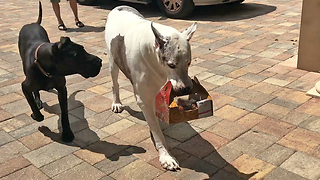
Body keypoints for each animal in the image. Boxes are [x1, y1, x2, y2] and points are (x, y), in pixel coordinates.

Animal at [17, 1, 102, 142]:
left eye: (83, 49)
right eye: (75, 56)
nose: (100, 61)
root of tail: (33, 23)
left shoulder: (62, 89)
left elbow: (65, 113)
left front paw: (67, 133)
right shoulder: (24, 86)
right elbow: (33, 106)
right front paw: (36, 115)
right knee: (35, 91)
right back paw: (38, 101)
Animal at [105, 5, 196, 170]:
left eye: (189, 63)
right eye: (171, 65)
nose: (186, 89)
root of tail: (120, 6)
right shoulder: (144, 99)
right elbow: (156, 131)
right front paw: (166, 156)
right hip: (112, 61)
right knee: (114, 82)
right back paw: (117, 102)